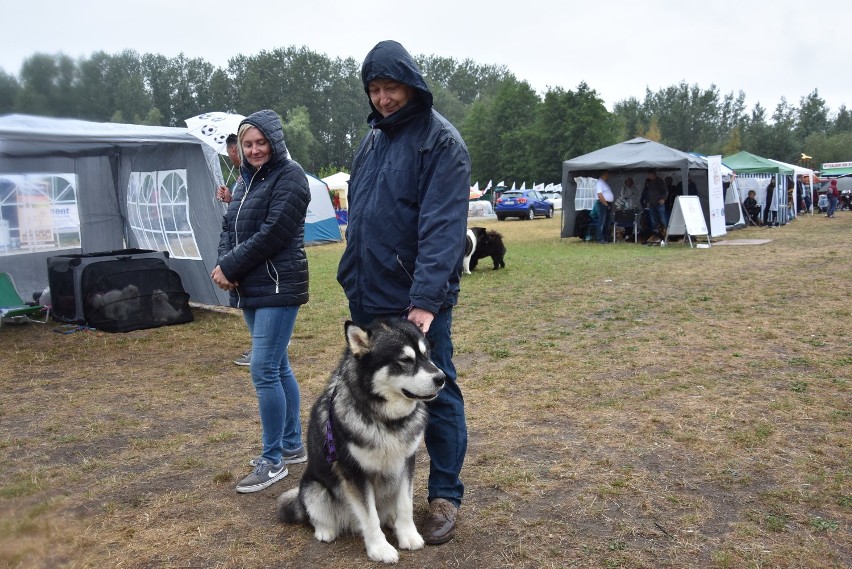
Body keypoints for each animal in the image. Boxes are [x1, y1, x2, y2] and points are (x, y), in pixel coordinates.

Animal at [278, 318, 446, 560]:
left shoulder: (407, 461)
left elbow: (405, 504)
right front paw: (380, 549)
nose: (442, 378)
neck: (385, 420)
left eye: (426, 354)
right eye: (405, 360)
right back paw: (325, 530)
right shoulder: (354, 472)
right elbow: (370, 516)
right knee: (315, 514)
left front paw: (408, 535)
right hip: (313, 488)